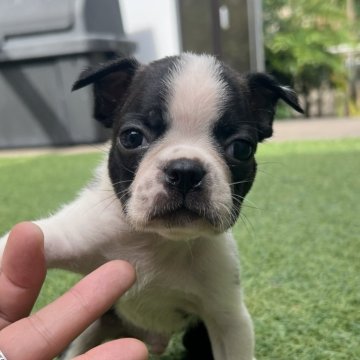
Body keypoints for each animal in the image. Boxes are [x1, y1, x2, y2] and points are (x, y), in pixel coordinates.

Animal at [0, 52, 304, 358]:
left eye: (242, 148)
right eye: (132, 137)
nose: (186, 171)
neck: (156, 240)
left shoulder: (228, 317)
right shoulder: (71, 234)